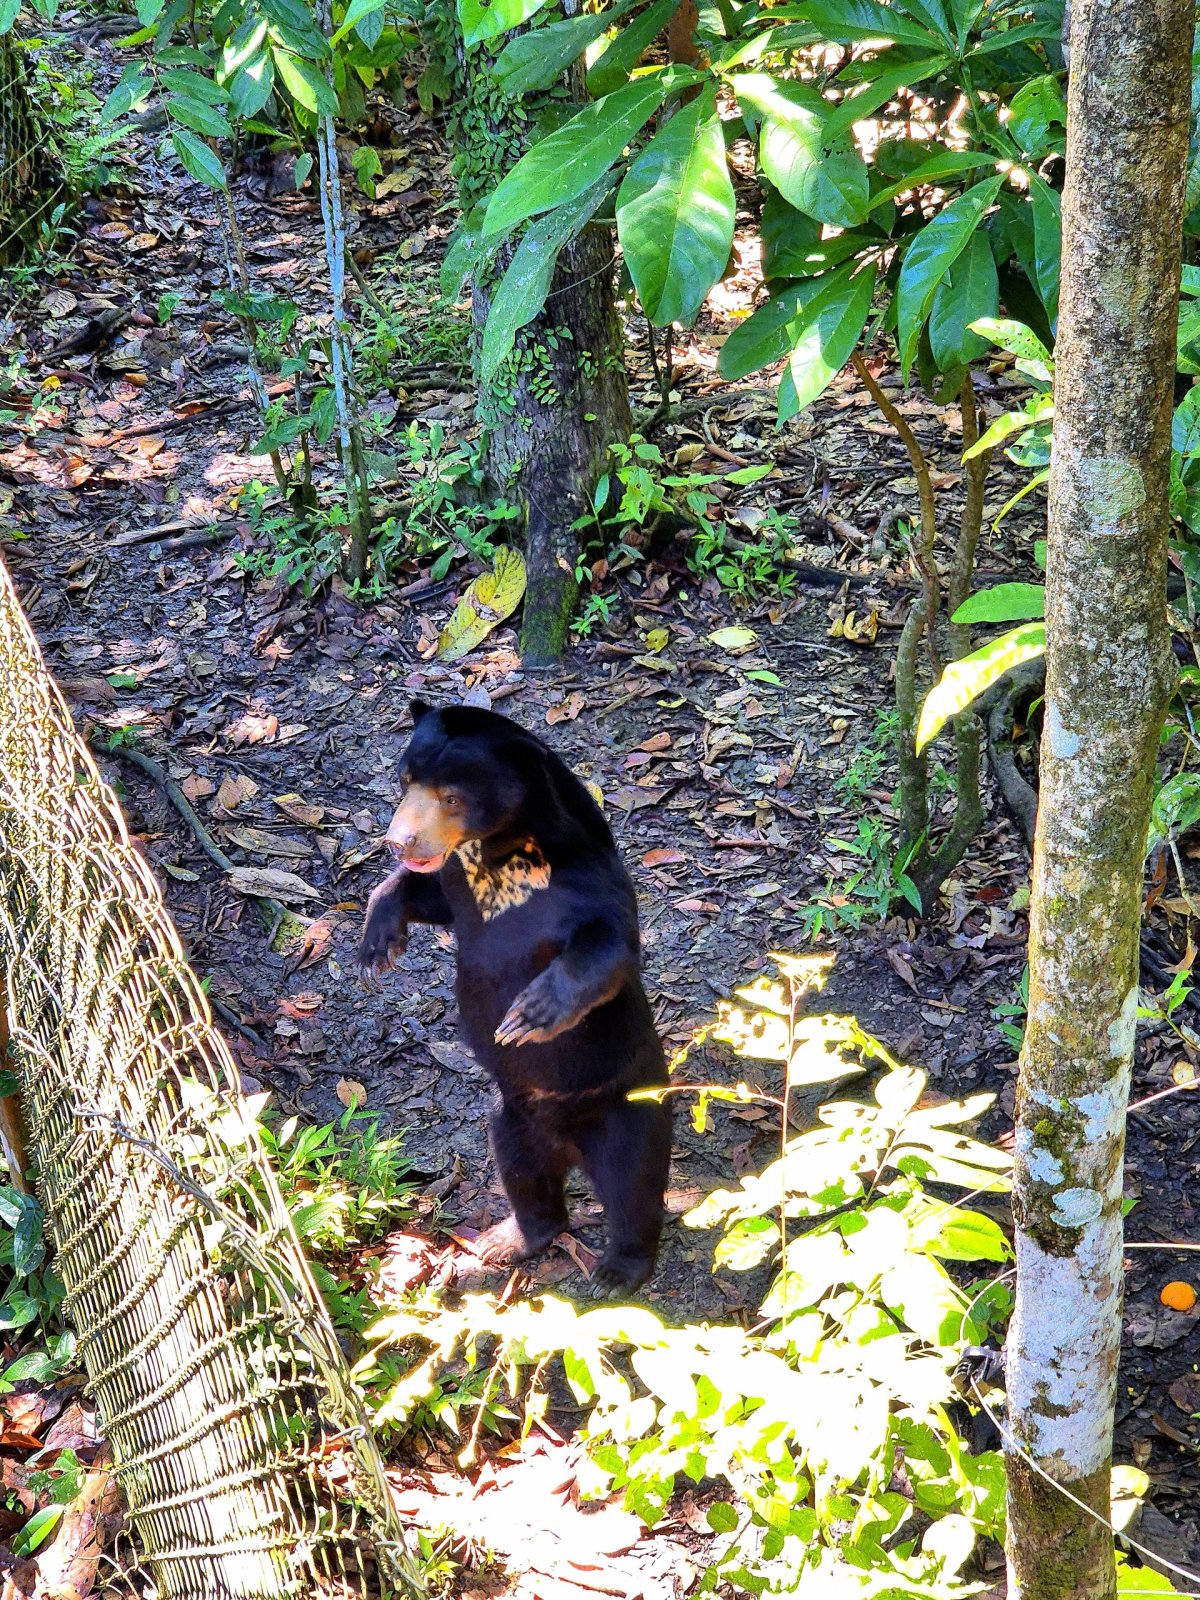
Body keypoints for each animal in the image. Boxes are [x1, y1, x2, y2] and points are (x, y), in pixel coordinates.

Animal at [358, 699, 672, 1293]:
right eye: (406, 780)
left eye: (452, 797)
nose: (399, 841)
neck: (498, 854)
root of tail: (568, 1143)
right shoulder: (457, 881)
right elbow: (425, 895)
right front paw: (375, 947)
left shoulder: (582, 881)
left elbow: (609, 943)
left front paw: (528, 1014)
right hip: (510, 1116)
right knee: (524, 1176)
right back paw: (507, 1239)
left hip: (625, 1104)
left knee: (633, 1186)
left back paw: (617, 1269)